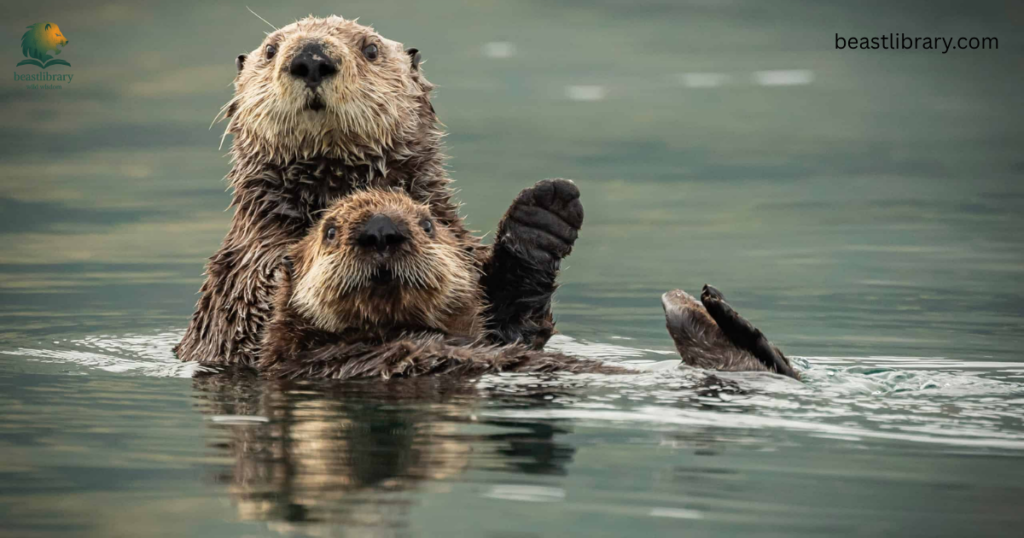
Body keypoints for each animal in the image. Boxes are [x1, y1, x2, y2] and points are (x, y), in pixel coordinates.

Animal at [176, 15, 582, 366]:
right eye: (271, 49)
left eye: (370, 49)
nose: (311, 58)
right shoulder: (243, 275)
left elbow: (511, 326)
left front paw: (542, 215)